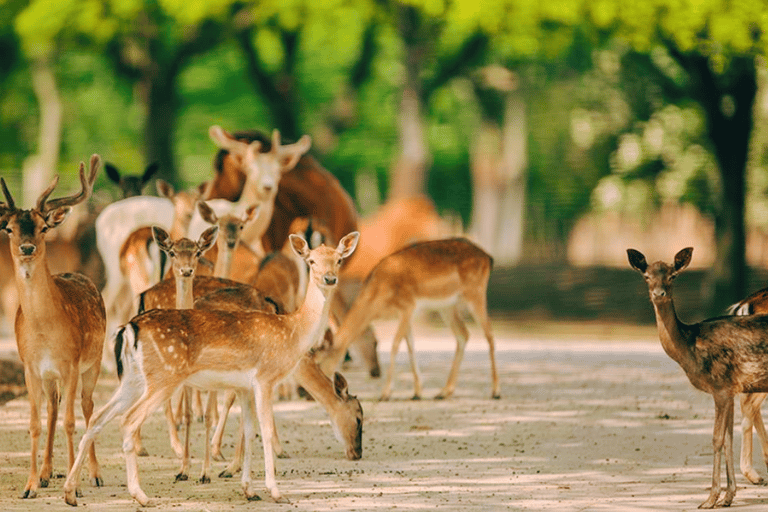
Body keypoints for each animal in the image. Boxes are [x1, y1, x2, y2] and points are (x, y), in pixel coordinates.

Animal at [0, 156, 106, 500]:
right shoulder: (30, 367)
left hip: (94, 361)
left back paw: (94, 474)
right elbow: (35, 422)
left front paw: (73, 488)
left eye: (43, 227)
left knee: (88, 408)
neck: (45, 332)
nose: (27, 248)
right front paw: (30, 485)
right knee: (53, 408)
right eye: (9, 228)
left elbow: (72, 422)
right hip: (51, 377)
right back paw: (47, 473)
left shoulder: (71, 364)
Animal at [61, 232, 362, 508]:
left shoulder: (244, 386)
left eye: (338, 259)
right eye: (311, 261)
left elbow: (249, 431)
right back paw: (140, 495)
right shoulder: (265, 377)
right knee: (128, 421)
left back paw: (71, 493)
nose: (329, 279)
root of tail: (128, 328)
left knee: (97, 417)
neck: (292, 333)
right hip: (163, 377)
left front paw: (248, 489)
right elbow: (265, 430)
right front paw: (275, 492)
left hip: (132, 380)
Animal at [314, 236, 500, 400]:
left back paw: (495, 392)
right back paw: (443, 392)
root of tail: (488, 257)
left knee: (489, 335)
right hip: (447, 306)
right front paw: (417, 393)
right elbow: (410, 346)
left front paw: (386, 393)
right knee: (463, 334)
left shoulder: (407, 306)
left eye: (319, 362)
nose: (307, 395)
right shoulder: (406, 314)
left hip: (475, 292)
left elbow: (395, 345)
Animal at [628, 248, 768, 508]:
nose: (659, 293)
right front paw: (727, 497)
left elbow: (716, 438)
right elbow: (727, 438)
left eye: (672, 275)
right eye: (646, 276)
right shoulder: (729, 388)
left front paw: (711, 498)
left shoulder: (720, 386)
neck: (690, 345)